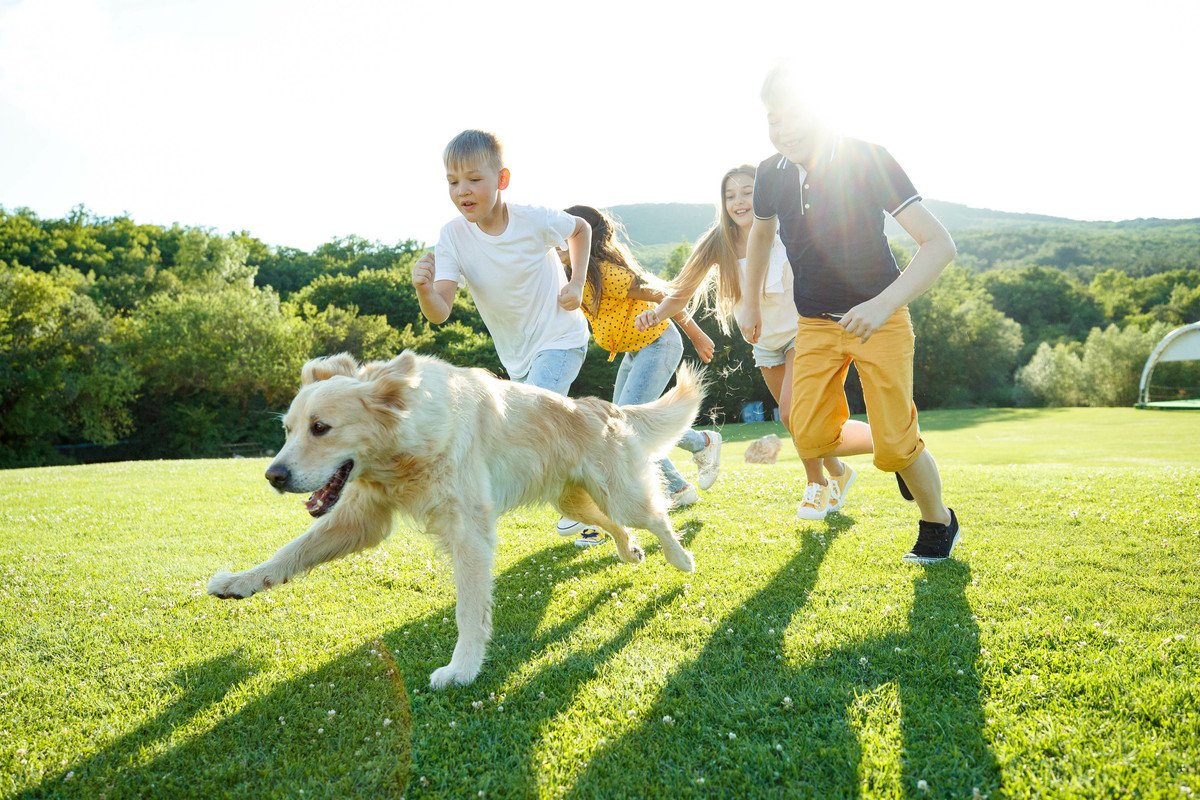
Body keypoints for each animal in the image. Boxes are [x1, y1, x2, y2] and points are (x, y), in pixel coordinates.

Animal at [208, 350, 700, 690]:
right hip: (572, 502)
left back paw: (680, 558)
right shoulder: (361, 519)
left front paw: (461, 669)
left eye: (321, 428)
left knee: (657, 515)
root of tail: (602, 406)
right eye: (288, 430)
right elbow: (291, 551)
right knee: (616, 525)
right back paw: (630, 551)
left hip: (620, 494)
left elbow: (468, 611)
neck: (405, 447)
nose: (273, 476)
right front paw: (240, 582)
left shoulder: (469, 533)